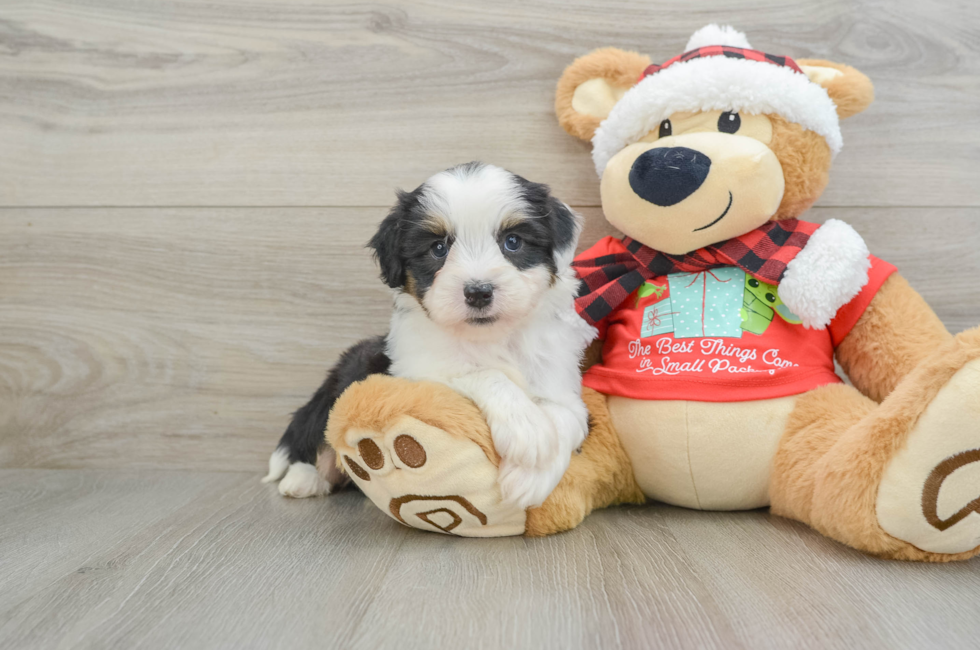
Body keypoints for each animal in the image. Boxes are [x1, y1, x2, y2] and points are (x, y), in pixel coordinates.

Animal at [264, 162, 592, 506]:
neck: (491, 338)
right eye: (438, 248)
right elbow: (480, 373)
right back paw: (304, 478)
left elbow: (566, 417)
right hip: (347, 376)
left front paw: (532, 475)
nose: (478, 292)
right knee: (315, 437)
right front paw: (527, 429)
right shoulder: (413, 370)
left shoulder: (561, 385)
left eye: (512, 242)